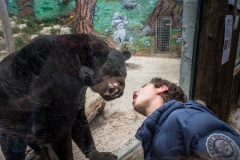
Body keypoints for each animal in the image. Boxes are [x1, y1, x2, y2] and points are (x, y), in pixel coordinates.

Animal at [0, 33, 130, 159]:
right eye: (113, 69)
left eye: (123, 72)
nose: (119, 91)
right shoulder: (53, 125)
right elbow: (62, 152)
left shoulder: (77, 111)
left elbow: (85, 136)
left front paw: (98, 156)